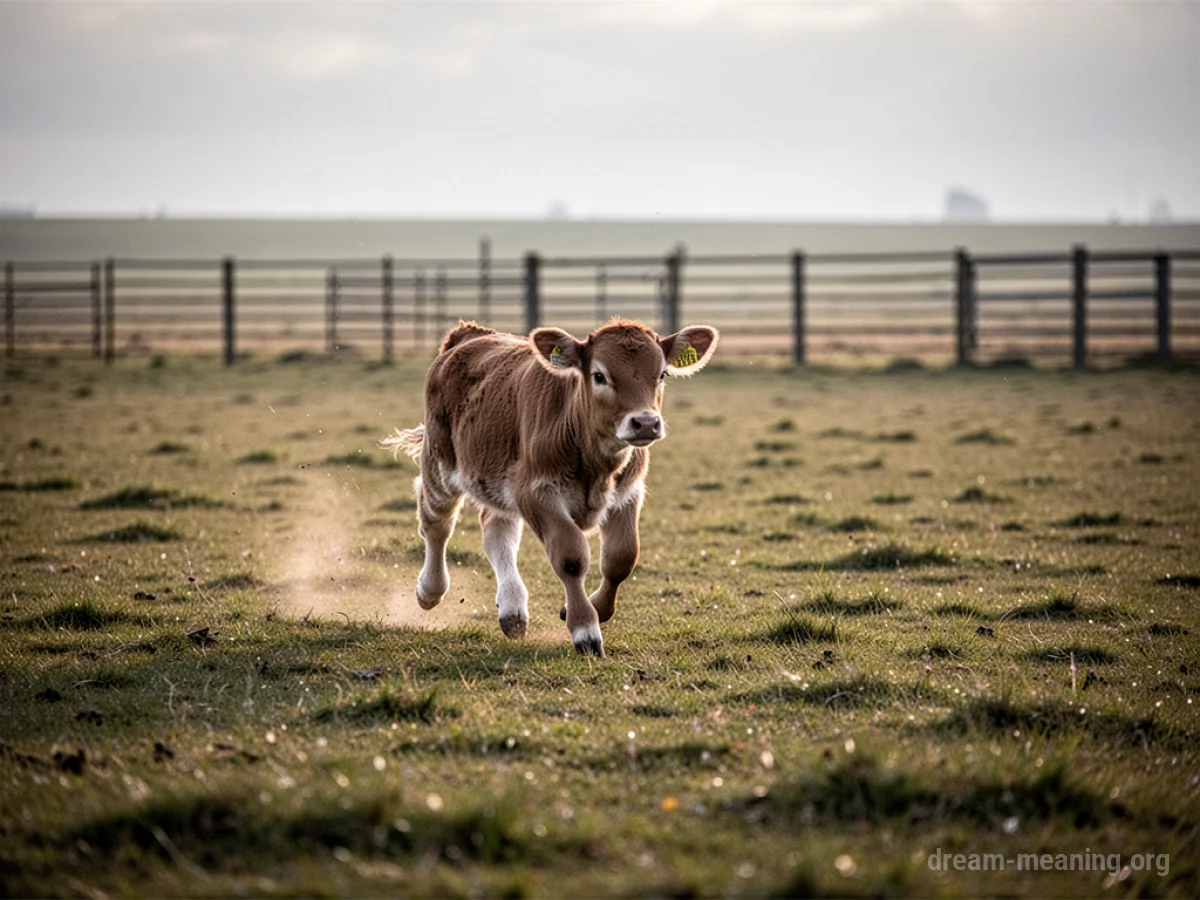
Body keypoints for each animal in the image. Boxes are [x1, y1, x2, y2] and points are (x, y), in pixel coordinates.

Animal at [383, 319, 719, 657]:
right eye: (599, 375)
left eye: (661, 375)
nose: (646, 423)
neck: (596, 466)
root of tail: (471, 334)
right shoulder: (535, 492)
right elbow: (571, 558)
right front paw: (585, 629)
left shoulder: (628, 493)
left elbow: (620, 559)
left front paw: (593, 608)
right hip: (440, 462)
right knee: (436, 522)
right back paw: (429, 589)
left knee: (496, 532)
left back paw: (512, 610)